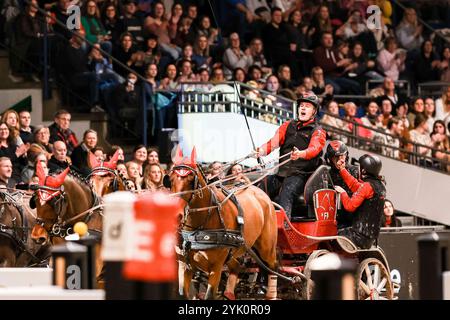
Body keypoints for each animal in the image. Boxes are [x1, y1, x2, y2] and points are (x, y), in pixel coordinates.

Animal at [168, 148, 278, 300]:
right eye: (170, 178)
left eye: (191, 179)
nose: (175, 214)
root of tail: (258, 191)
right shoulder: (184, 265)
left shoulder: (216, 267)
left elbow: (209, 295)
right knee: (237, 267)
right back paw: (229, 293)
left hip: (267, 247)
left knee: (272, 267)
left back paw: (271, 294)